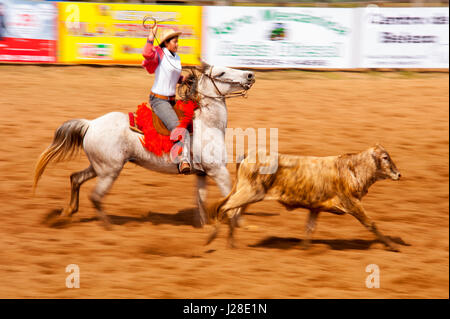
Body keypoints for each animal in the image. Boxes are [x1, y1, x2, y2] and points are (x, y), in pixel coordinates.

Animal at [33, 63, 255, 228]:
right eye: (221, 73)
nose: (250, 75)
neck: (207, 124)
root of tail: (91, 124)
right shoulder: (218, 171)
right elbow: (231, 196)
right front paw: (239, 224)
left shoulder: (202, 174)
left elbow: (201, 200)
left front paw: (204, 226)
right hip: (109, 171)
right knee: (95, 196)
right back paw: (107, 226)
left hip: (99, 167)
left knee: (76, 178)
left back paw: (67, 212)